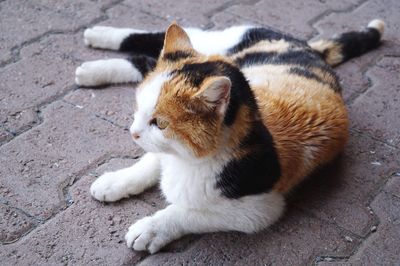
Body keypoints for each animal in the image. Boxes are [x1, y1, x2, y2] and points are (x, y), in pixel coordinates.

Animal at [75, 19, 384, 254]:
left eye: (160, 123)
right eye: (138, 106)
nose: (134, 133)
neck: (190, 160)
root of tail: (307, 47)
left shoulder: (259, 209)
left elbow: (188, 212)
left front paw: (151, 229)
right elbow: (150, 161)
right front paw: (116, 180)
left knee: (145, 60)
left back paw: (91, 65)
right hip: (218, 40)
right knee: (153, 46)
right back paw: (97, 39)